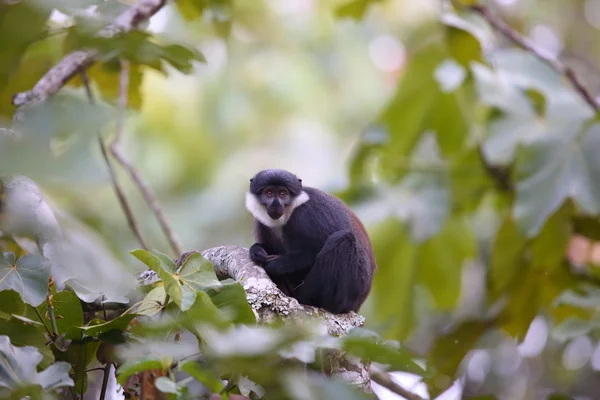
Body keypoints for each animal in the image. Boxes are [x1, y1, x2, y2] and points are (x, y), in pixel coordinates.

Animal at [244, 167, 376, 314]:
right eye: (269, 193)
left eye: (283, 194)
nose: (276, 204)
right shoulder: (261, 223)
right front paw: (257, 251)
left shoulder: (305, 215)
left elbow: (312, 252)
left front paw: (274, 265)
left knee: (344, 239)